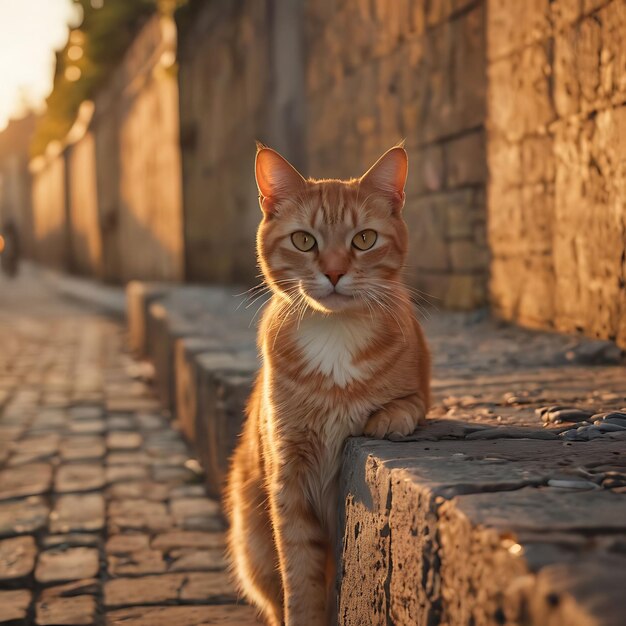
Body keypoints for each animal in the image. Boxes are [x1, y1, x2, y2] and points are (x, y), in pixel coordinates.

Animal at [223, 144, 428, 620]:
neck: (334, 335)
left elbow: (409, 401)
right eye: (304, 240)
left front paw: (389, 417)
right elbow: (301, 581)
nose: (334, 272)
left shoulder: (422, 388)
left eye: (364, 239)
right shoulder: (289, 474)